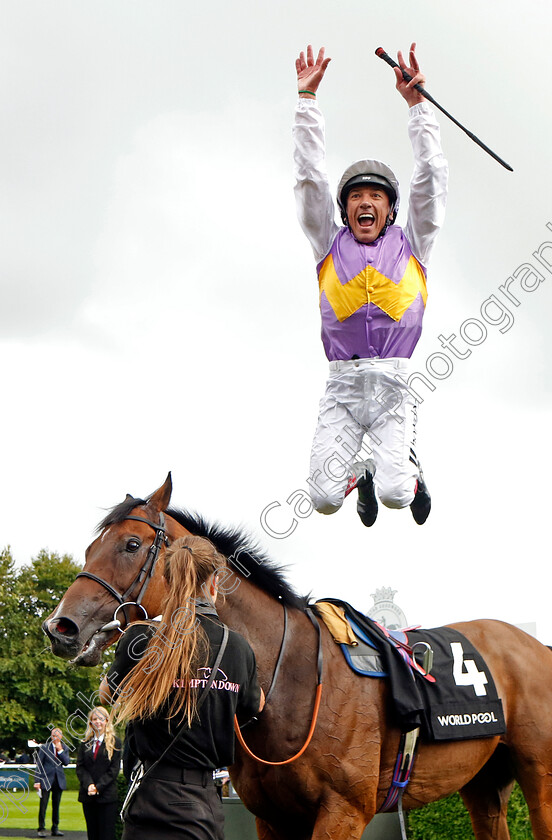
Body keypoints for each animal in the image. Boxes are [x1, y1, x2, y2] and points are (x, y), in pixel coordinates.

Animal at [44, 476, 552, 836]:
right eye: (90, 547)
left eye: (131, 545)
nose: (60, 627)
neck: (287, 677)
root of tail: (535, 646)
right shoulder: (271, 817)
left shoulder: (344, 812)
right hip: (484, 783)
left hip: (539, 775)